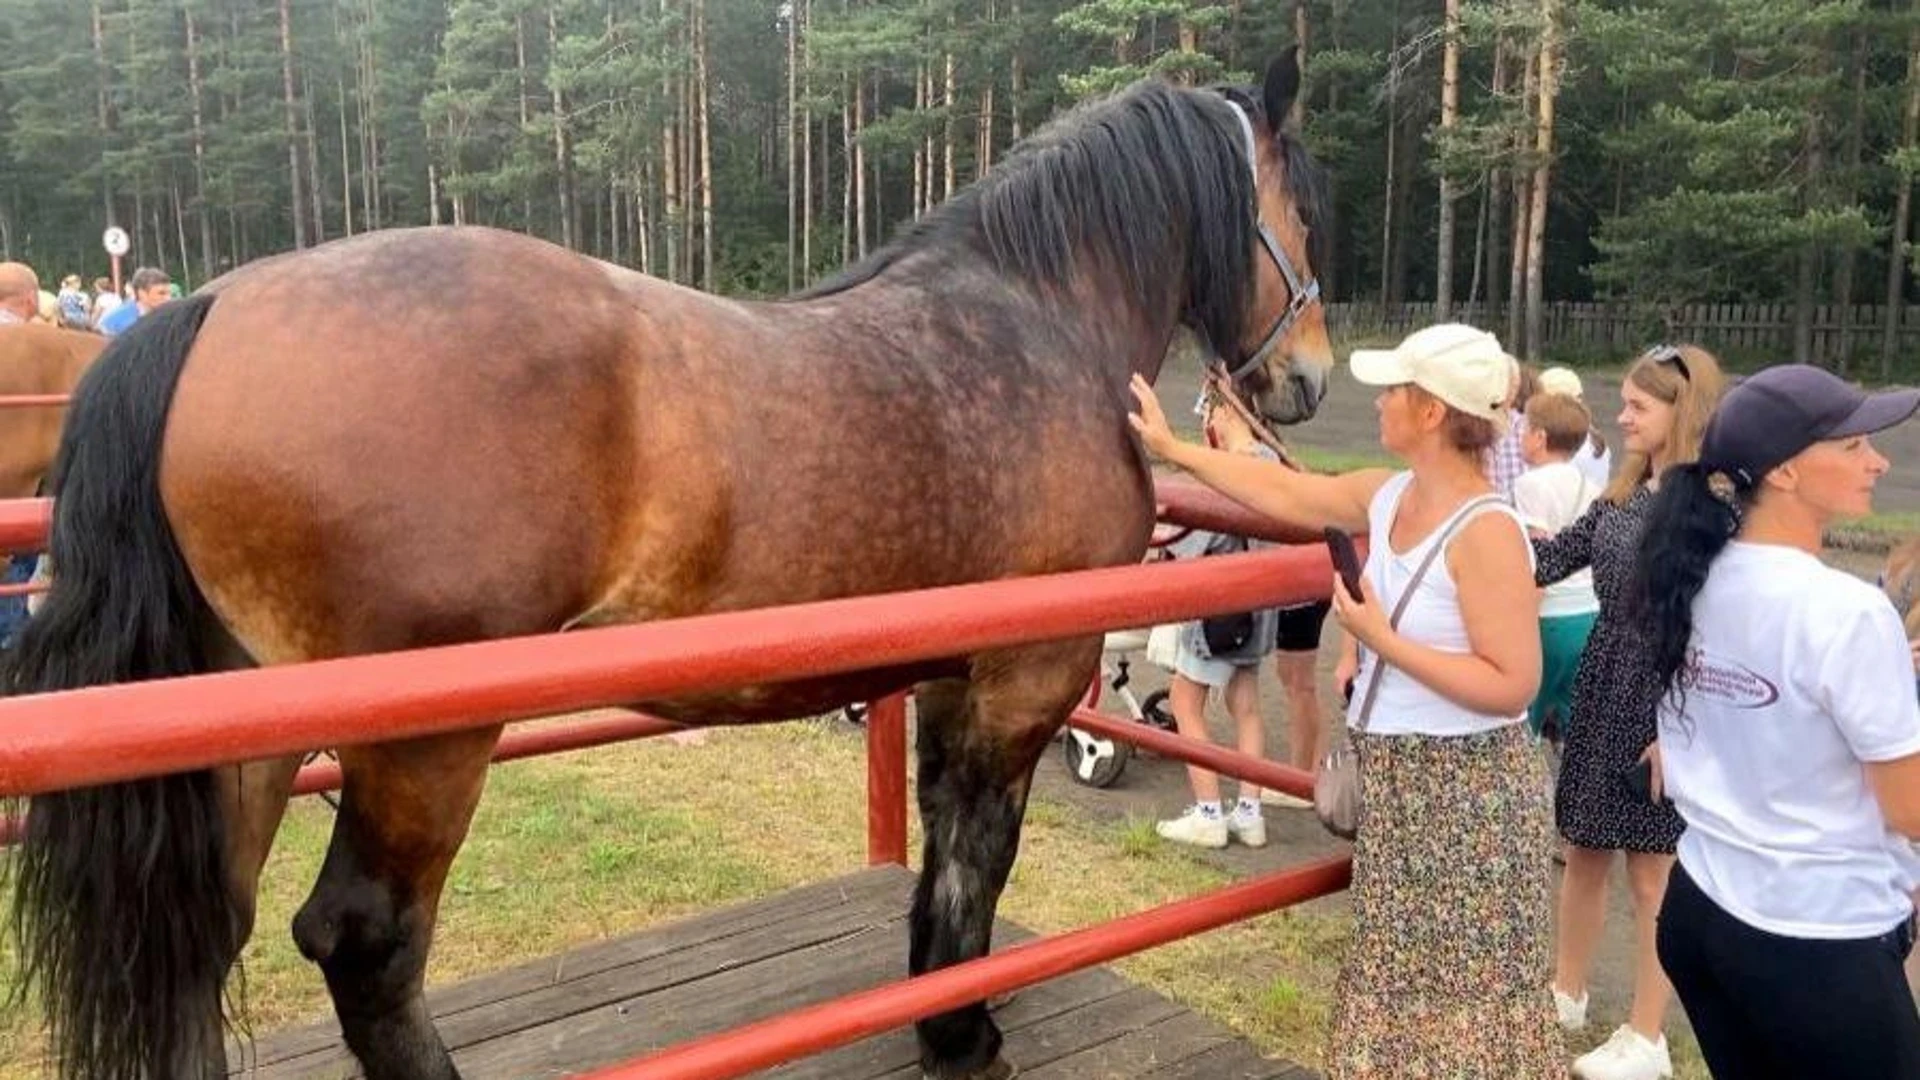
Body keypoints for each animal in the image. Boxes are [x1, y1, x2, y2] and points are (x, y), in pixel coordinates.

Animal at [0, 52, 1328, 1080]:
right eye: (1303, 207)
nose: (1310, 376)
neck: (1033, 322)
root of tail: (213, 309)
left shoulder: (956, 676)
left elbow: (948, 849)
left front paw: (939, 1006)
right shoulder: (1025, 676)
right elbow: (979, 858)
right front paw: (959, 1033)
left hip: (243, 728)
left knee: (197, 943)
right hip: (424, 744)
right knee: (365, 943)